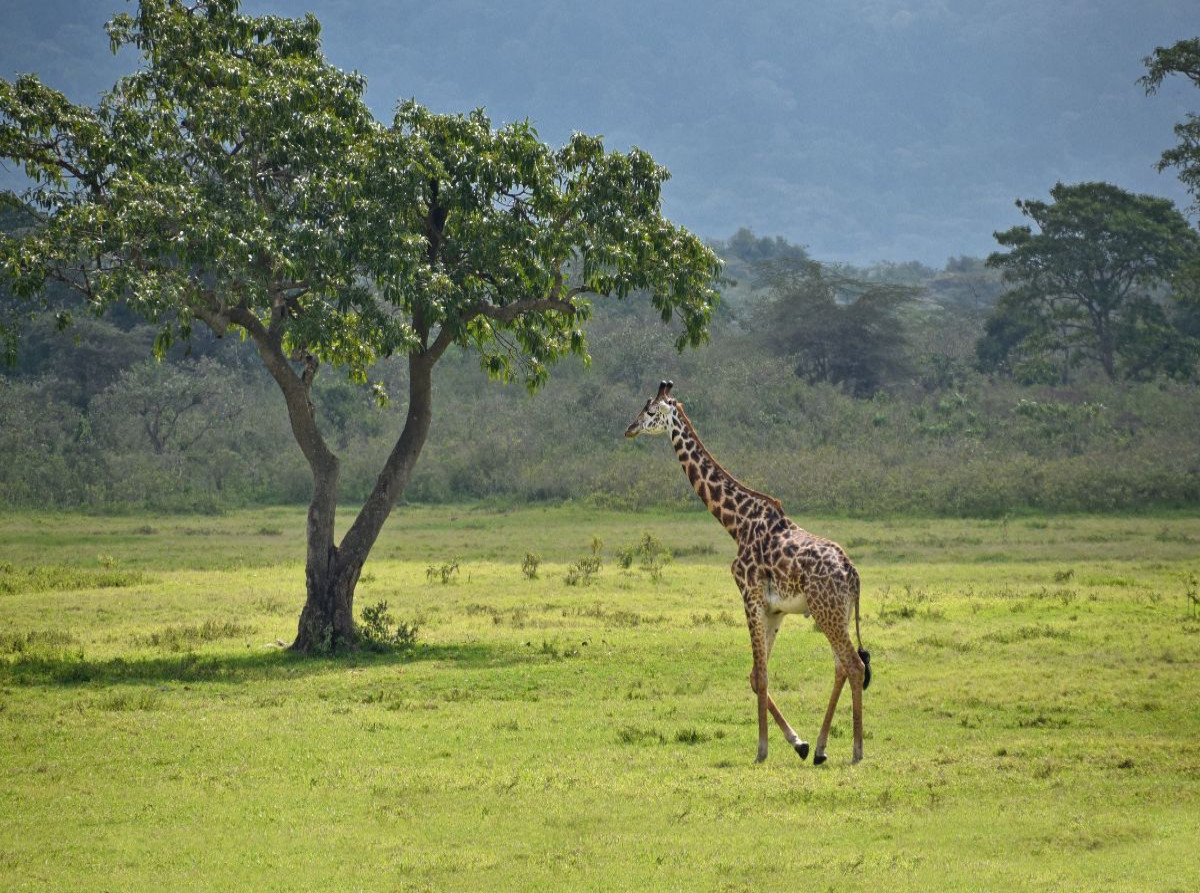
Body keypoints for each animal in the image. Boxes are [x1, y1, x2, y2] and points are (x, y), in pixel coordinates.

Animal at [624, 381, 871, 765]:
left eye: (650, 411)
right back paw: (819, 749)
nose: (630, 429)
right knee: (842, 666)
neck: (736, 523)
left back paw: (856, 751)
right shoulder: (775, 609)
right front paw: (797, 743)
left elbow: (763, 677)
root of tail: (853, 573)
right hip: (837, 612)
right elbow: (757, 675)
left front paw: (762, 749)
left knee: (854, 665)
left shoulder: (749, 596)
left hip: (825, 611)